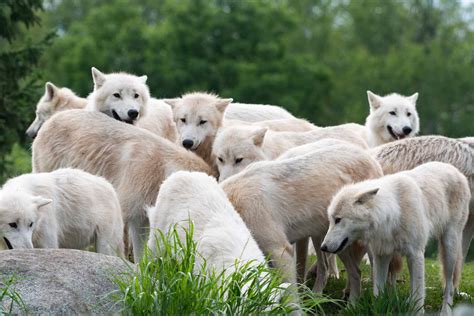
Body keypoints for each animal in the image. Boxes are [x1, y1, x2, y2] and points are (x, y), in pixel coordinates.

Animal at [220, 144, 384, 298]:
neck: (234, 205)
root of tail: (371, 159)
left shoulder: (280, 251)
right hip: (324, 240)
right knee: (329, 269)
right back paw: (319, 296)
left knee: (360, 271)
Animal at [320, 162, 472, 314]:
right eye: (331, 220)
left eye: (338, 220)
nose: (323, 247)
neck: (394, 213)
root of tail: (455, 170)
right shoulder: (382, 255)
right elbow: (378, 294)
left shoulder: (416, 254)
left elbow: (419, 294)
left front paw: (416, 312)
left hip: (449, 249)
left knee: (449, 285)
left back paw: (445, 311)